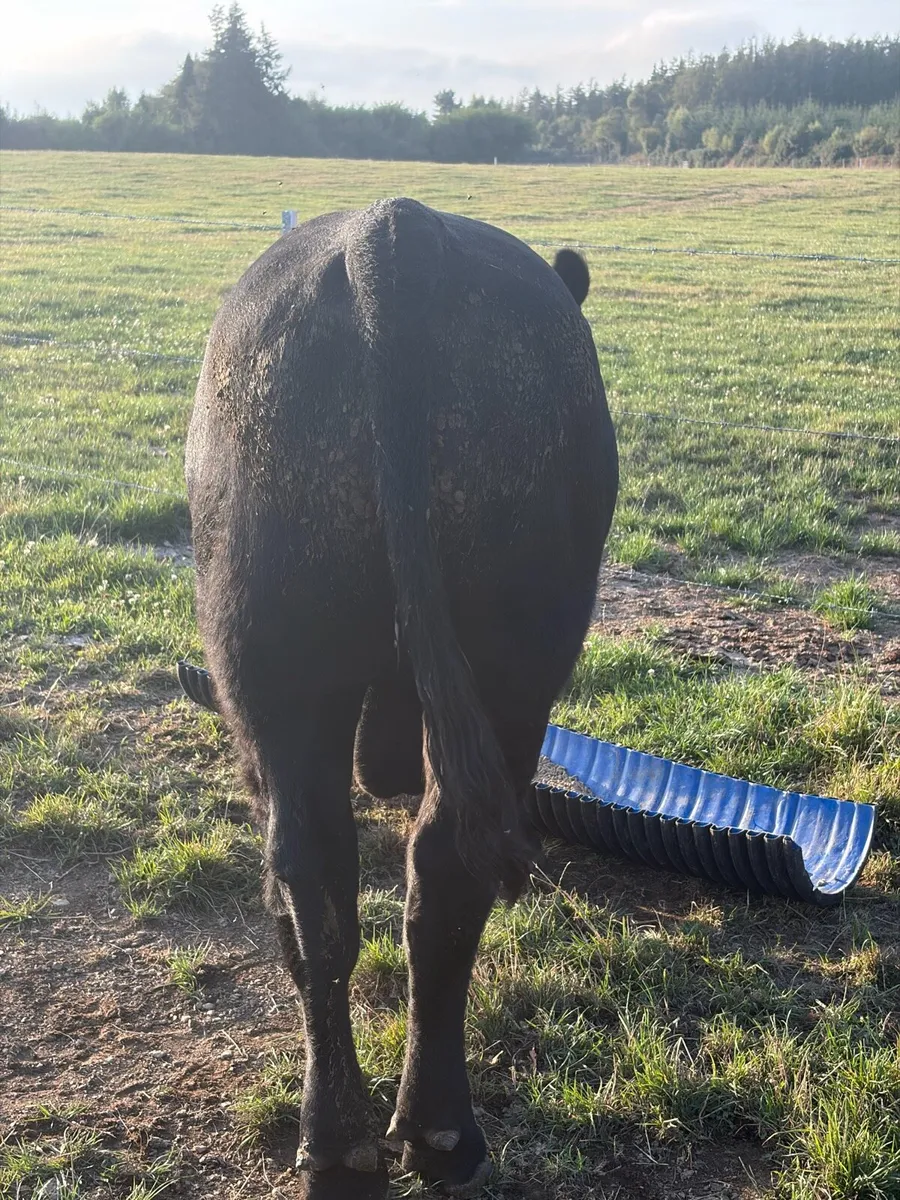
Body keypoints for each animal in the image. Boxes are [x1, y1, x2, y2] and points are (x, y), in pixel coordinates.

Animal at [185, 197, 618, 1198]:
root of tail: (396, 228)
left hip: (290, 675)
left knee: (326, 881)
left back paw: (356, 1141)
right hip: (496, 666)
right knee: (407, 878)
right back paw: (421, 1134)